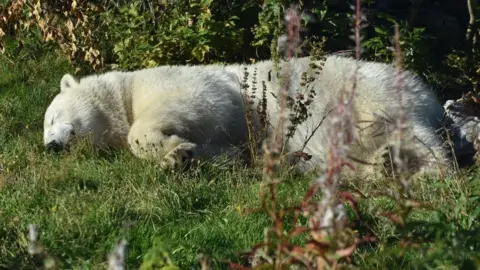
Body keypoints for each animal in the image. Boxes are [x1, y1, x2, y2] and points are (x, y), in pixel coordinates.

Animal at [44, 56, 450, 176]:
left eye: (50, 119)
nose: (50, 147)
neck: (125, 92)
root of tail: (427, 91)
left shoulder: (190, 84)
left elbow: (197, 104)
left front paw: (169, 145)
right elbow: (223, 150)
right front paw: (180, 156)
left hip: (370, 93)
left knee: (410, 131)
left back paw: (426, 169)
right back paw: (385, 164)